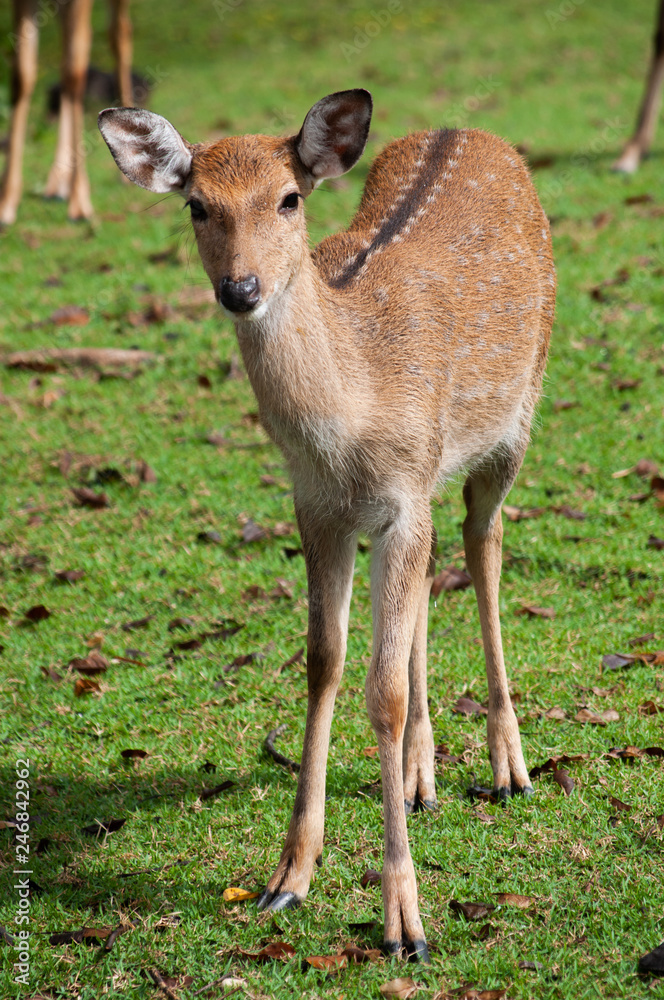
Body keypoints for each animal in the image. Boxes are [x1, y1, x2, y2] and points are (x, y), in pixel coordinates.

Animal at [98, 94, 556, 960]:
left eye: (289, 198)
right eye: (196, 204)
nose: (241, 287)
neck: (348, 421)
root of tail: (466, 129)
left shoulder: (402, 496)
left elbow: (382, 693)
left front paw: (405, 923)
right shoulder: (319, 507)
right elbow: (325, 663)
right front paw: (287, 878)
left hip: (517, 419)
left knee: (484, 547)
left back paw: (509, 766)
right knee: (436, 572)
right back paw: (419, 778)